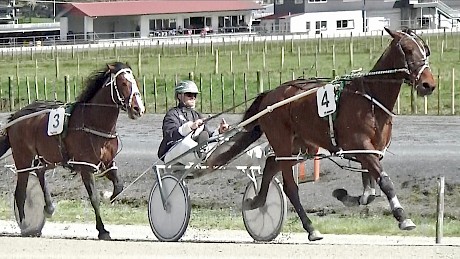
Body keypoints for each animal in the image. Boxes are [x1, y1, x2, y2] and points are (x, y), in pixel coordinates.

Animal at [0, 61, 146, 240]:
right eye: (124, 83)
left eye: (135, 82)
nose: (138, 108)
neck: (93, 122)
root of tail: (15, 117)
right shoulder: (86, 167)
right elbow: (94, 198)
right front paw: (102, 230)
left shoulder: (108, 163)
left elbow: (118, 187)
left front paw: (108, 197)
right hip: (23, 158)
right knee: (20, 192)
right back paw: (25, 225)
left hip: (47, 156)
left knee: (40, 172)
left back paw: (48, 208)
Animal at [207, 28, 436, 242]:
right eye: (407, 49)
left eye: (426, 50)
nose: (429, 85)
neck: (371, 98)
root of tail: (269, 95)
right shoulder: (361, 146)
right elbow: (385, 183)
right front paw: (403, 217)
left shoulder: (371, 151)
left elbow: (370, 192)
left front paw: (347, 196)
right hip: (282, 141)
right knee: (290, 187)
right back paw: (310, 228)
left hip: (300, 145)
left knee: (272, 164)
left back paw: (258, 201)